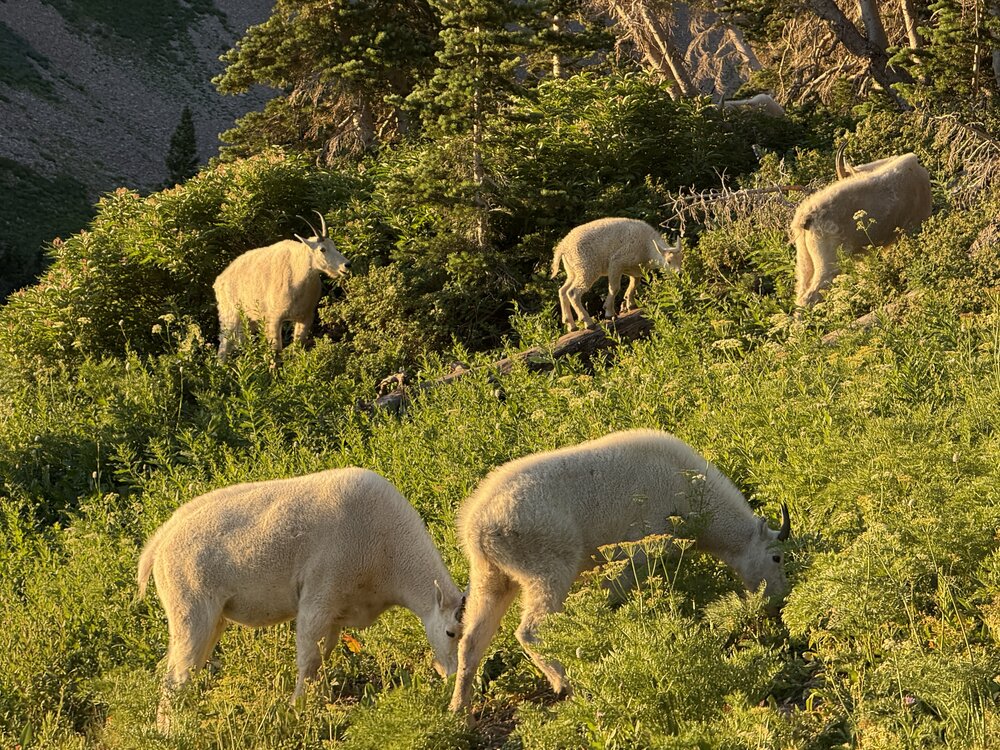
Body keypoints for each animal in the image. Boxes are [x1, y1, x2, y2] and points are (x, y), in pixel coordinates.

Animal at [447, 429, 791, 713]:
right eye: (777, 558)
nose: (778, 602)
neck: (692, 493)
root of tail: (477, 527)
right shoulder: (636, 552)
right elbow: (614, 596)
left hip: (490, 573)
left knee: (472, 637)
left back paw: (461, 711)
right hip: (547, 564)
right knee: (532, 629)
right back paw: (568, 684)